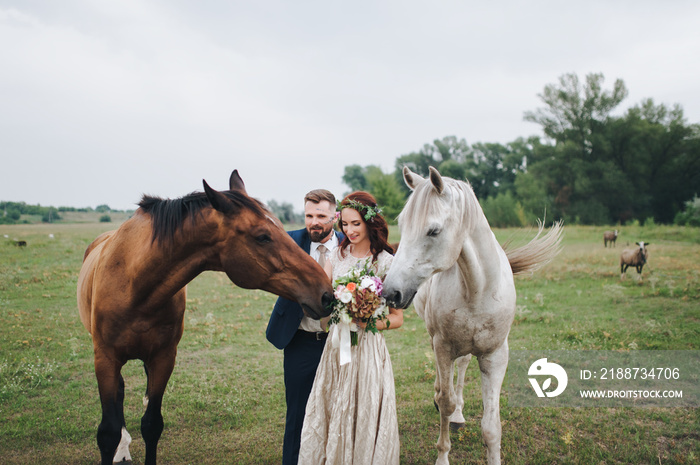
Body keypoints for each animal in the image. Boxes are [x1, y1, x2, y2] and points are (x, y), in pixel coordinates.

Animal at [76, 170, 334, 464]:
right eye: (262, 236)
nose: (326, 294)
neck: (134, 282)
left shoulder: (163, 358)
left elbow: (152, 424)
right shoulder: (105, 358)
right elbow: (107, 433)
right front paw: (116, 444)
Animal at [382, 167, 564, 464]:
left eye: (433, 231)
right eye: (402, 224)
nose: (390, 292)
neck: (479, 290)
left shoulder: (495, 355)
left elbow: (491, 426)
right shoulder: (443, 346)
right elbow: (445, 402)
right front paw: (442, 455)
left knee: (463, 364)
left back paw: (458, 413)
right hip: (435, 338)